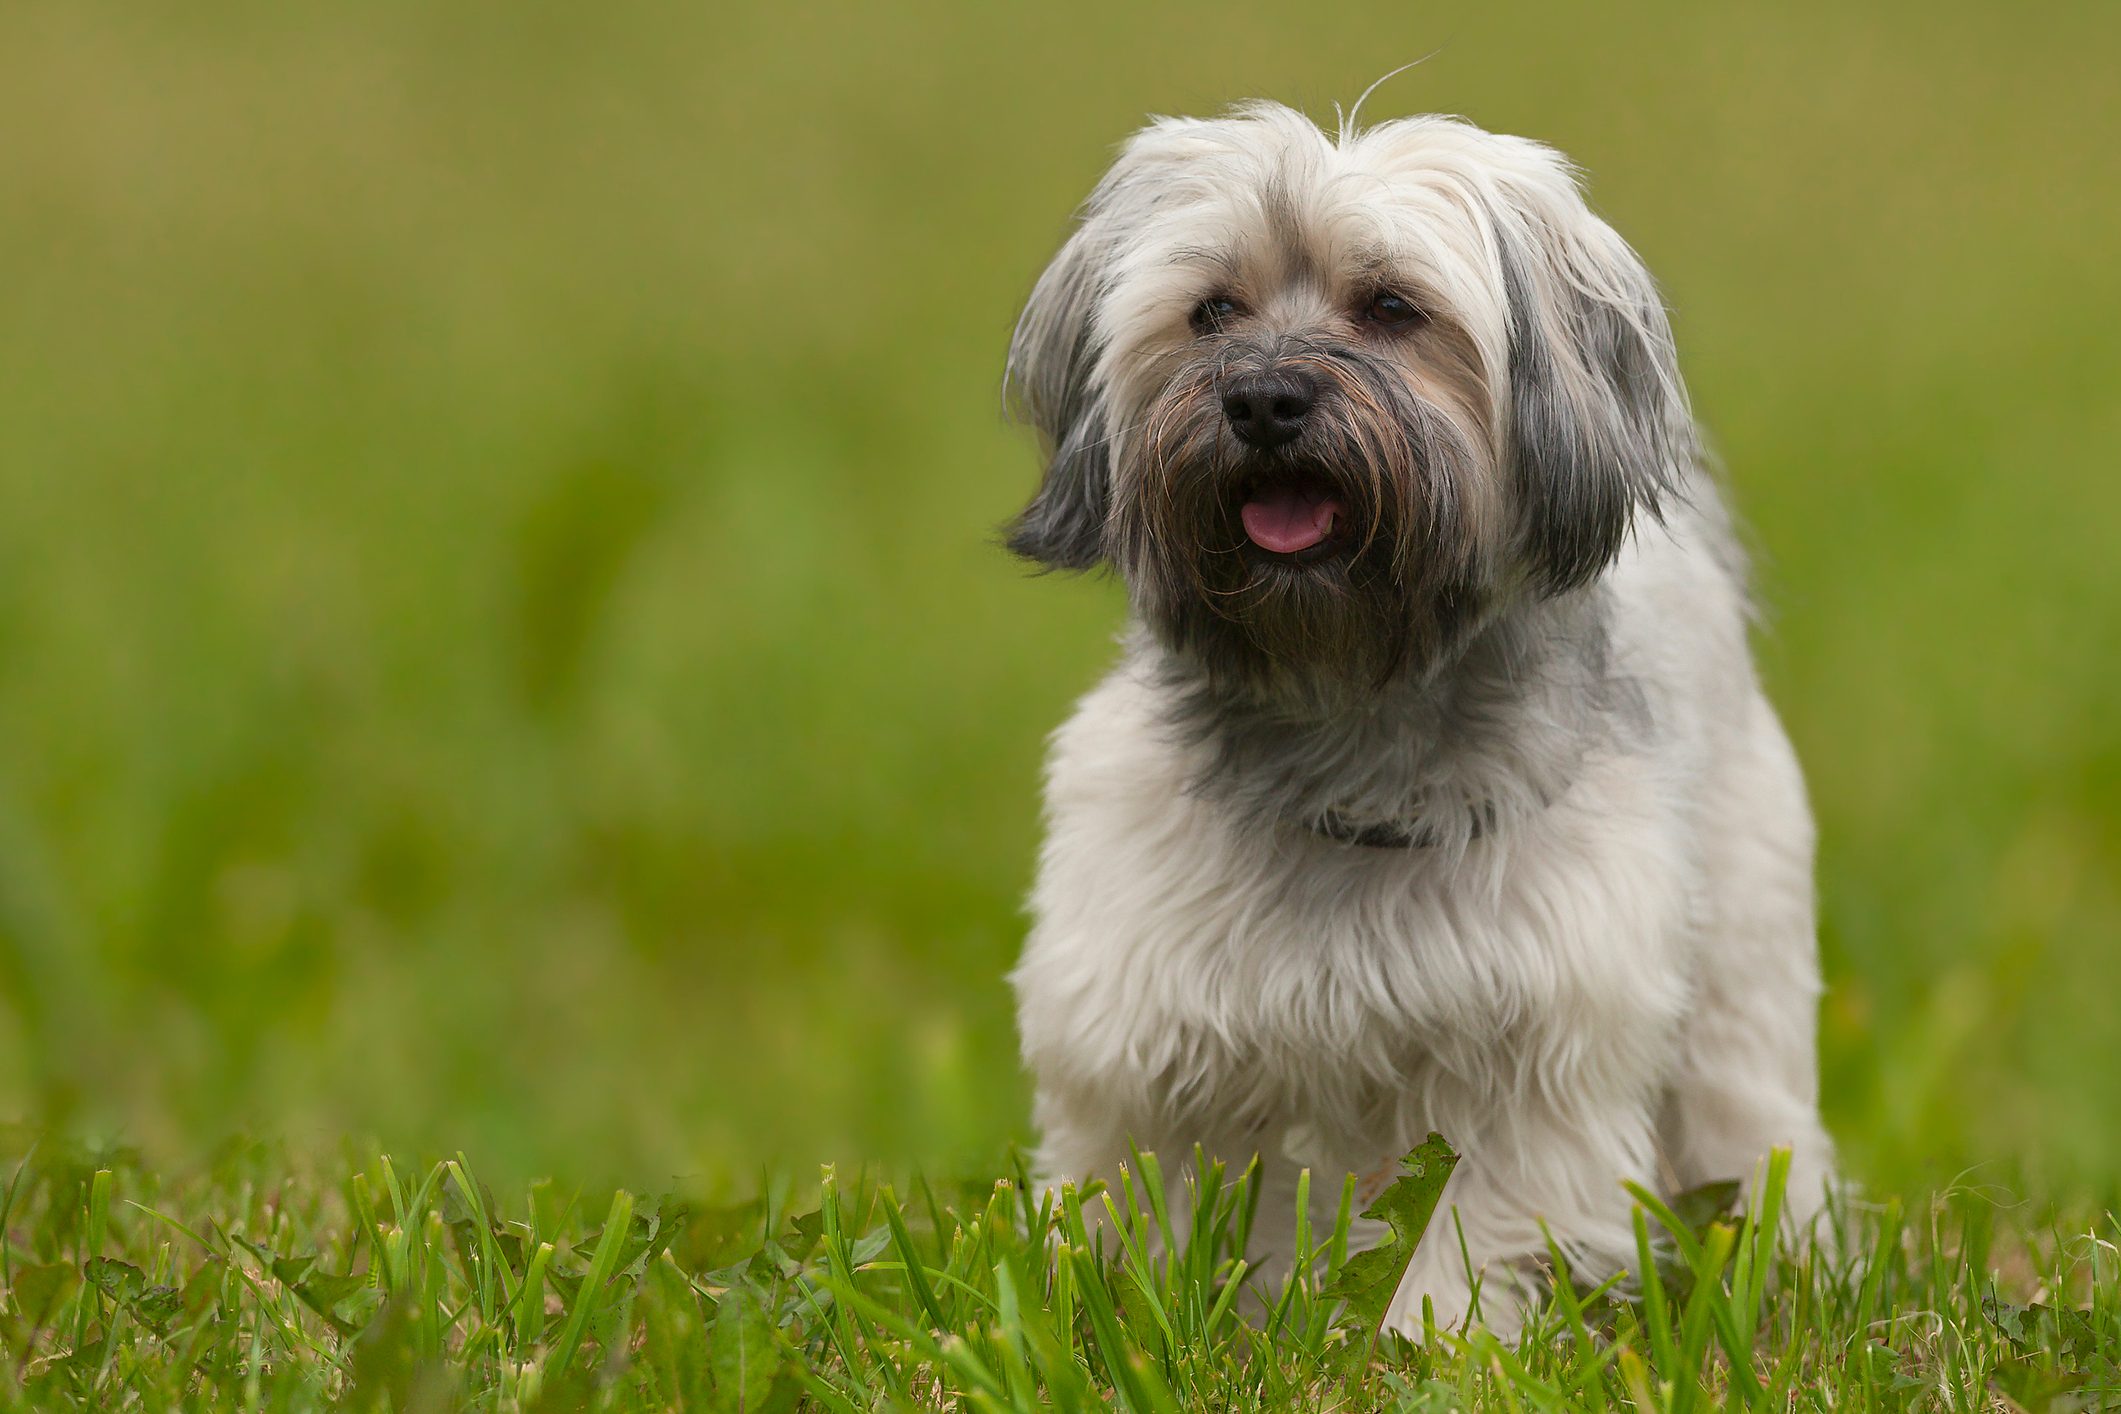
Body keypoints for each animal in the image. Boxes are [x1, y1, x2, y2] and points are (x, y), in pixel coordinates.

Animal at [1001, 99, 1832, 1339]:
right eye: (1212, 312)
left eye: (1392, 307)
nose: (1264, 400)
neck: (1344, 707)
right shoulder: (1137, 1028)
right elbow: (1146, 1203)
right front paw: (1134, 1318)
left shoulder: (1532, 1046)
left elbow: (1469, 1234)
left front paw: (1426, 1344)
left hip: (1741, 956)